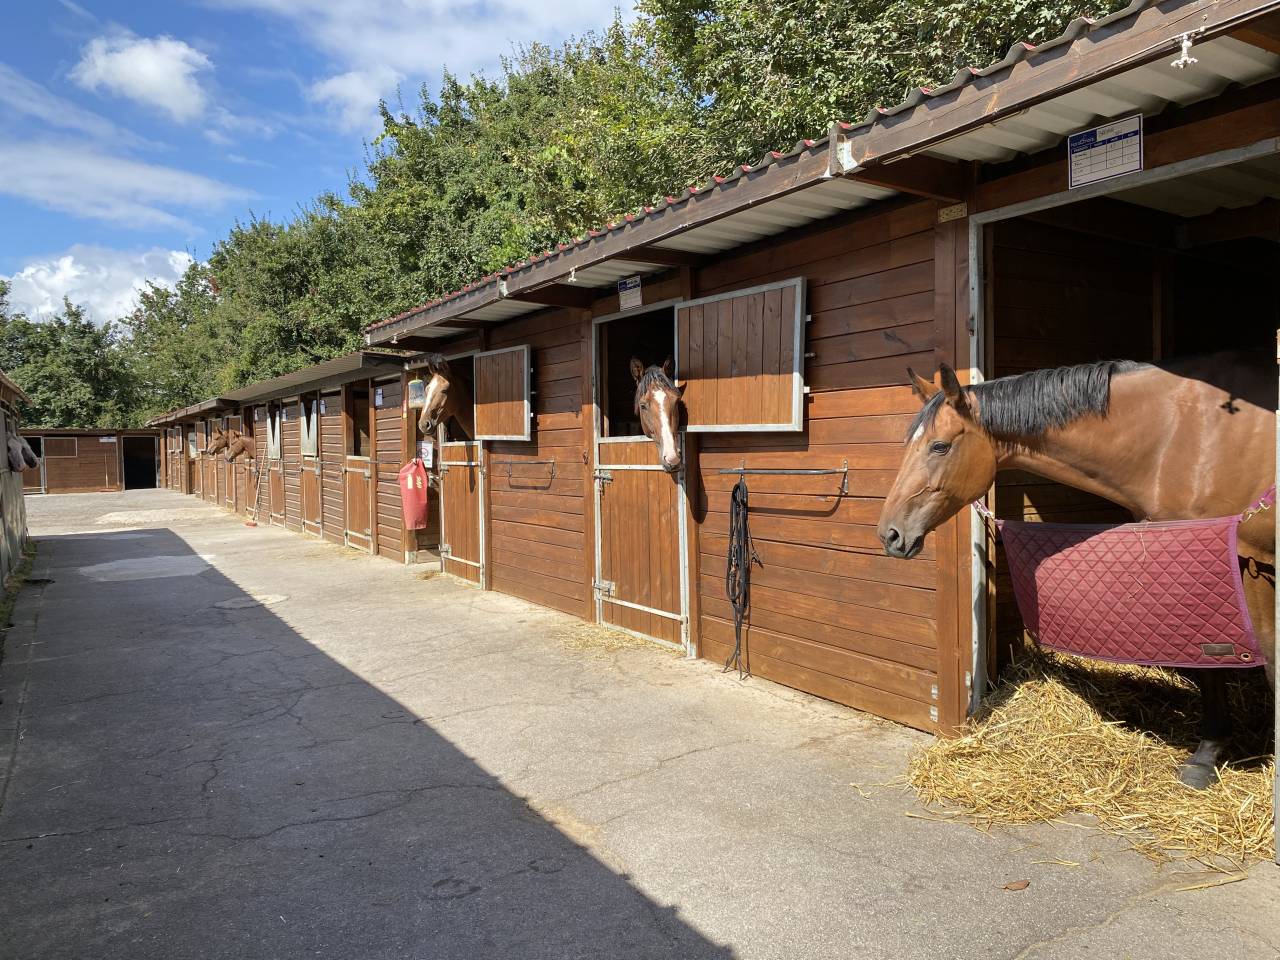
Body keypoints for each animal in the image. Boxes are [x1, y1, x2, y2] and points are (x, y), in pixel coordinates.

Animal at [876, 353, 1275, 789]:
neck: (1182, 434)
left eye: (940, 446)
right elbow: (1210, 667)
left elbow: (1261, 656)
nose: (890, 534)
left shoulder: (1248, 565)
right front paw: (1207, 755)